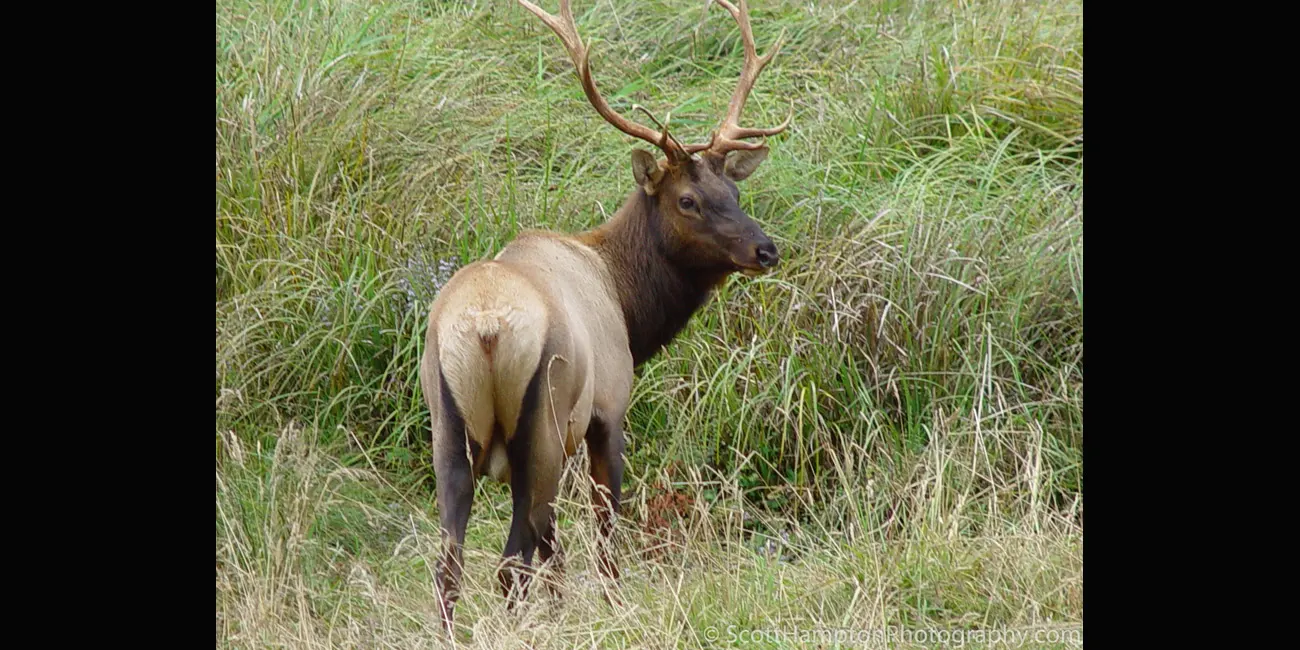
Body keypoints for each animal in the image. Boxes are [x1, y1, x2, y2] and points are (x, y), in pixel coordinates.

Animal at [419, 0, 788, 632]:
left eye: (734, 195)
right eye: (687, 200)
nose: (765, 250)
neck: (627, 302)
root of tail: (486, 327)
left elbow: (555, 549)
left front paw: (566, 611)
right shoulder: (609, 408)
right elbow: (606, 533)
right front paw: (617, 610)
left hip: (448, 425)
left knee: (453, 566)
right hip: (541, 422)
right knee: (510, 562)